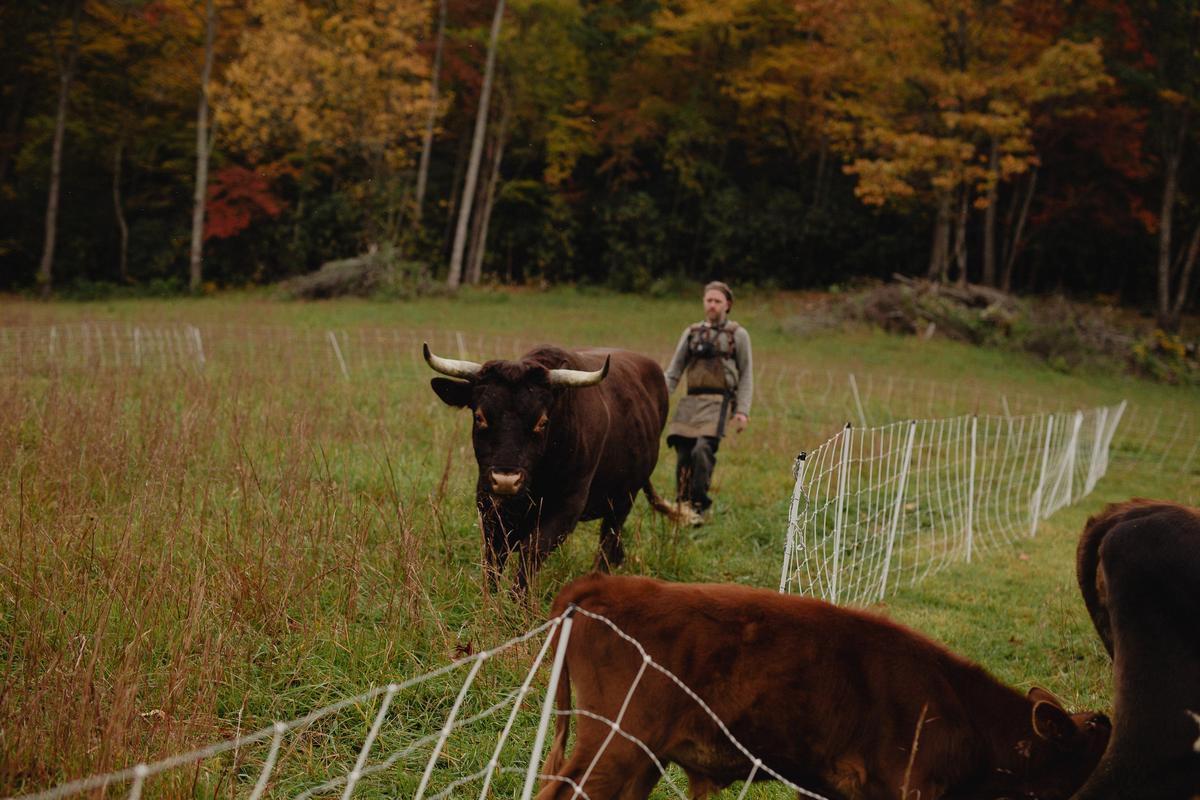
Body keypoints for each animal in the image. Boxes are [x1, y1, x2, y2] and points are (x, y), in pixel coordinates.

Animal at [424, 344, 691, 592]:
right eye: (480, 416)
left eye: (542, 422)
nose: (506, 480)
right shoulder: (488, 502)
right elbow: (493, 555)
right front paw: (490, 599)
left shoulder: (567, 506)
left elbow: (531, 551)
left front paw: (517, 602)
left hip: (624, 498)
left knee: (607, 541)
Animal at [537, 574, 1111, 800]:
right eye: (1087, 747)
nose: (1107, 717)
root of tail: (607, 585)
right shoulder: (910, 788)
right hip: (614, 747)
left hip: (642, 759)